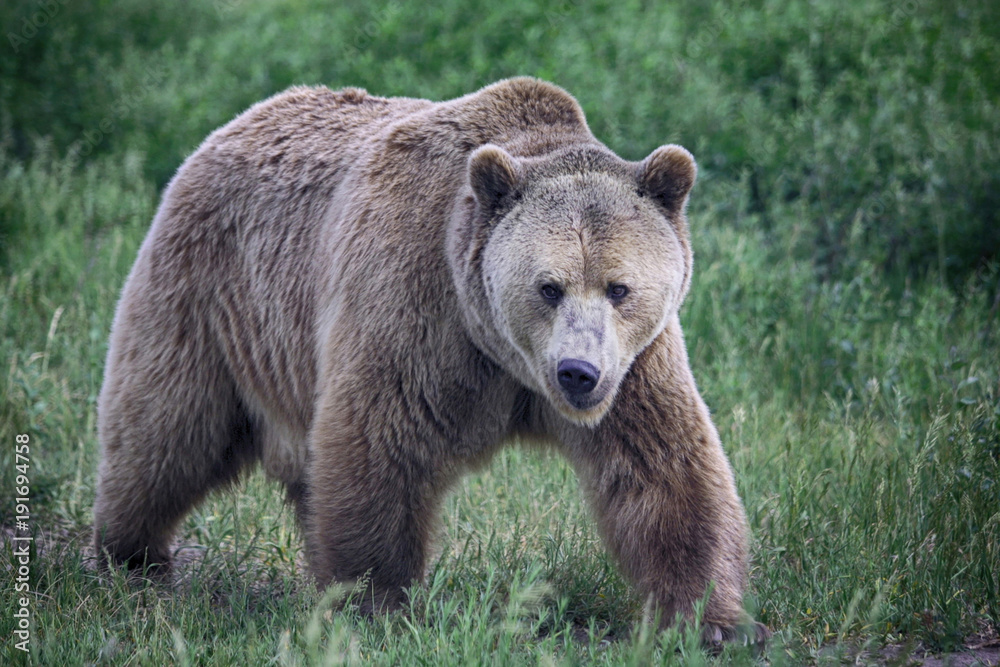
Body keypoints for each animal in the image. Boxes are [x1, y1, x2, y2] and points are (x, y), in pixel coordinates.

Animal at [92, 77, 768, 645]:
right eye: (549, 287)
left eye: (619, 287)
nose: (578, 373)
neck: (503, 355)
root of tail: (240, 120)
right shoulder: (416, 308)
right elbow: (379, 446)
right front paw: (379, 602)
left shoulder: (635, 365)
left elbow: (665, 469)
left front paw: (710, 620)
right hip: (211, 296)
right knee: (166, 427)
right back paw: (130, 554)